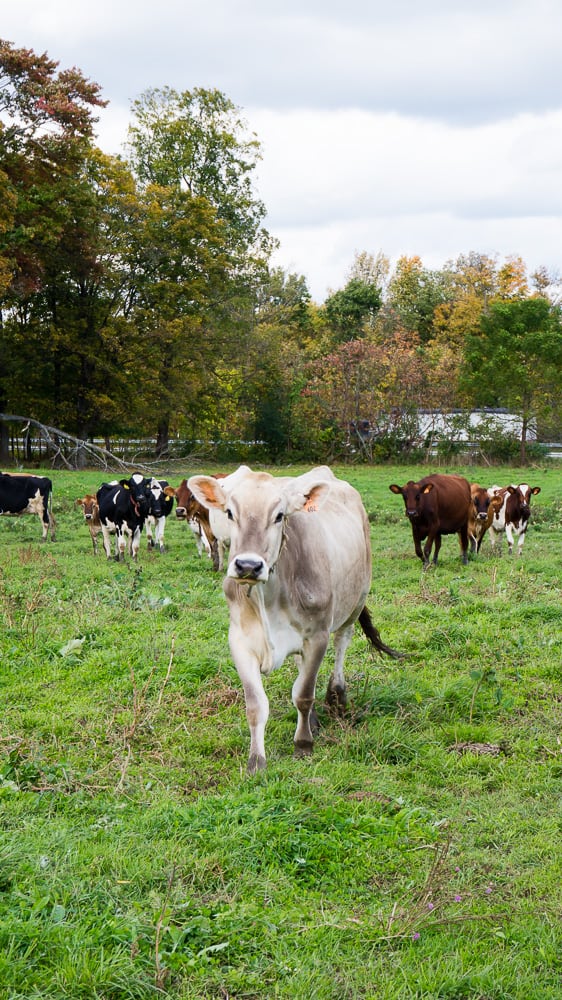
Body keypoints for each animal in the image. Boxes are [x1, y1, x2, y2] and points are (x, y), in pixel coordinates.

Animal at [188, 465, 401, 774]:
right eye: (229, 512)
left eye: (279, 515)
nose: (248, 565)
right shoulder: (240, 642)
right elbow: (256, 705)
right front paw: (256, 761)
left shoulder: (317, 636)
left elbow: (303, 694)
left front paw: (303, 744)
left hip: (356, 601)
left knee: (342, 644)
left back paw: (338, 695)